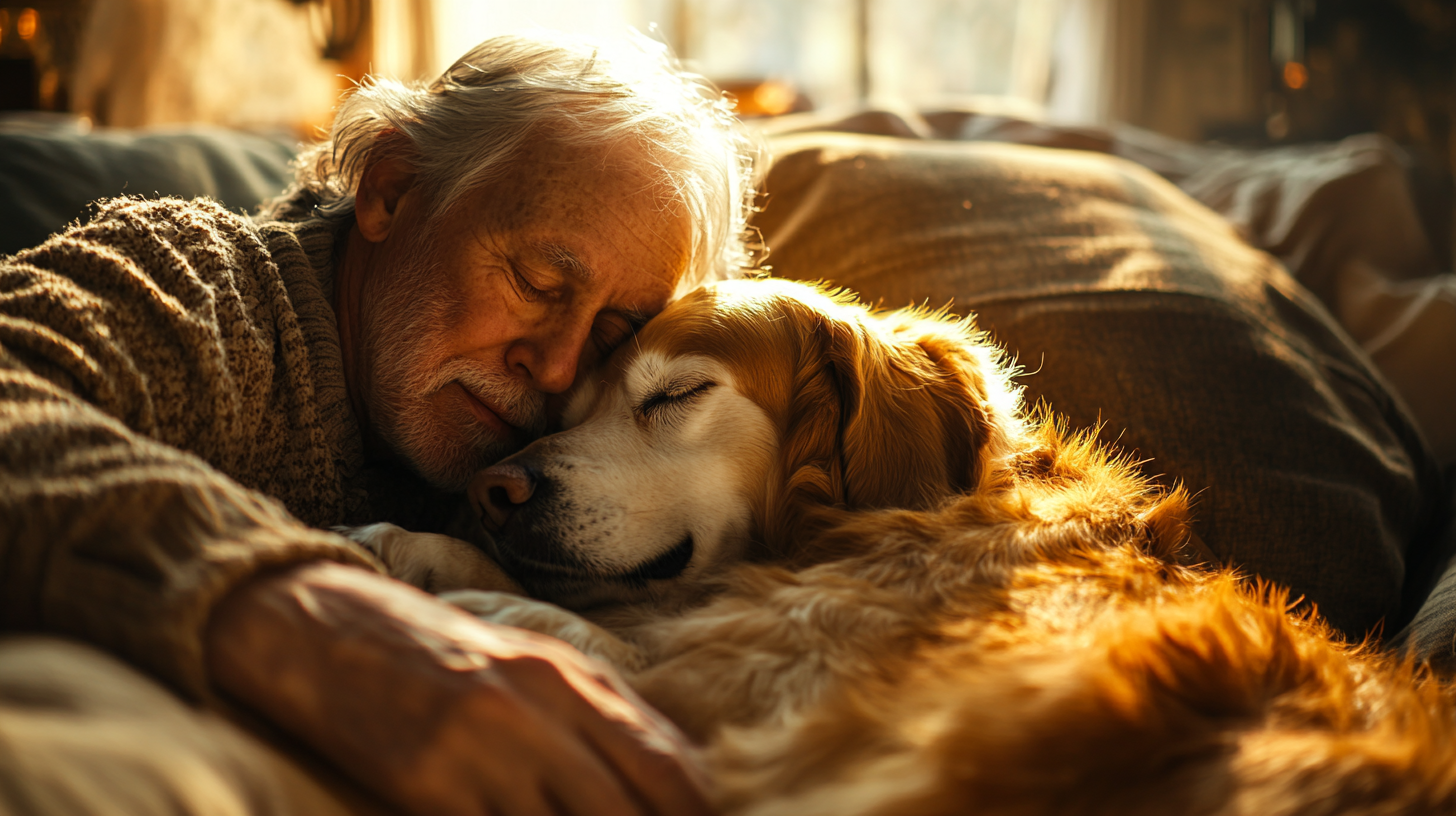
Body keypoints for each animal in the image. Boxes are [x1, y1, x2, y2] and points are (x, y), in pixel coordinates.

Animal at [349, 276, 1456, 810]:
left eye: (674, 395)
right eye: (569, 406)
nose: (492, 491)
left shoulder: (751, 696)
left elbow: (595, 635)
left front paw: (447, 591)